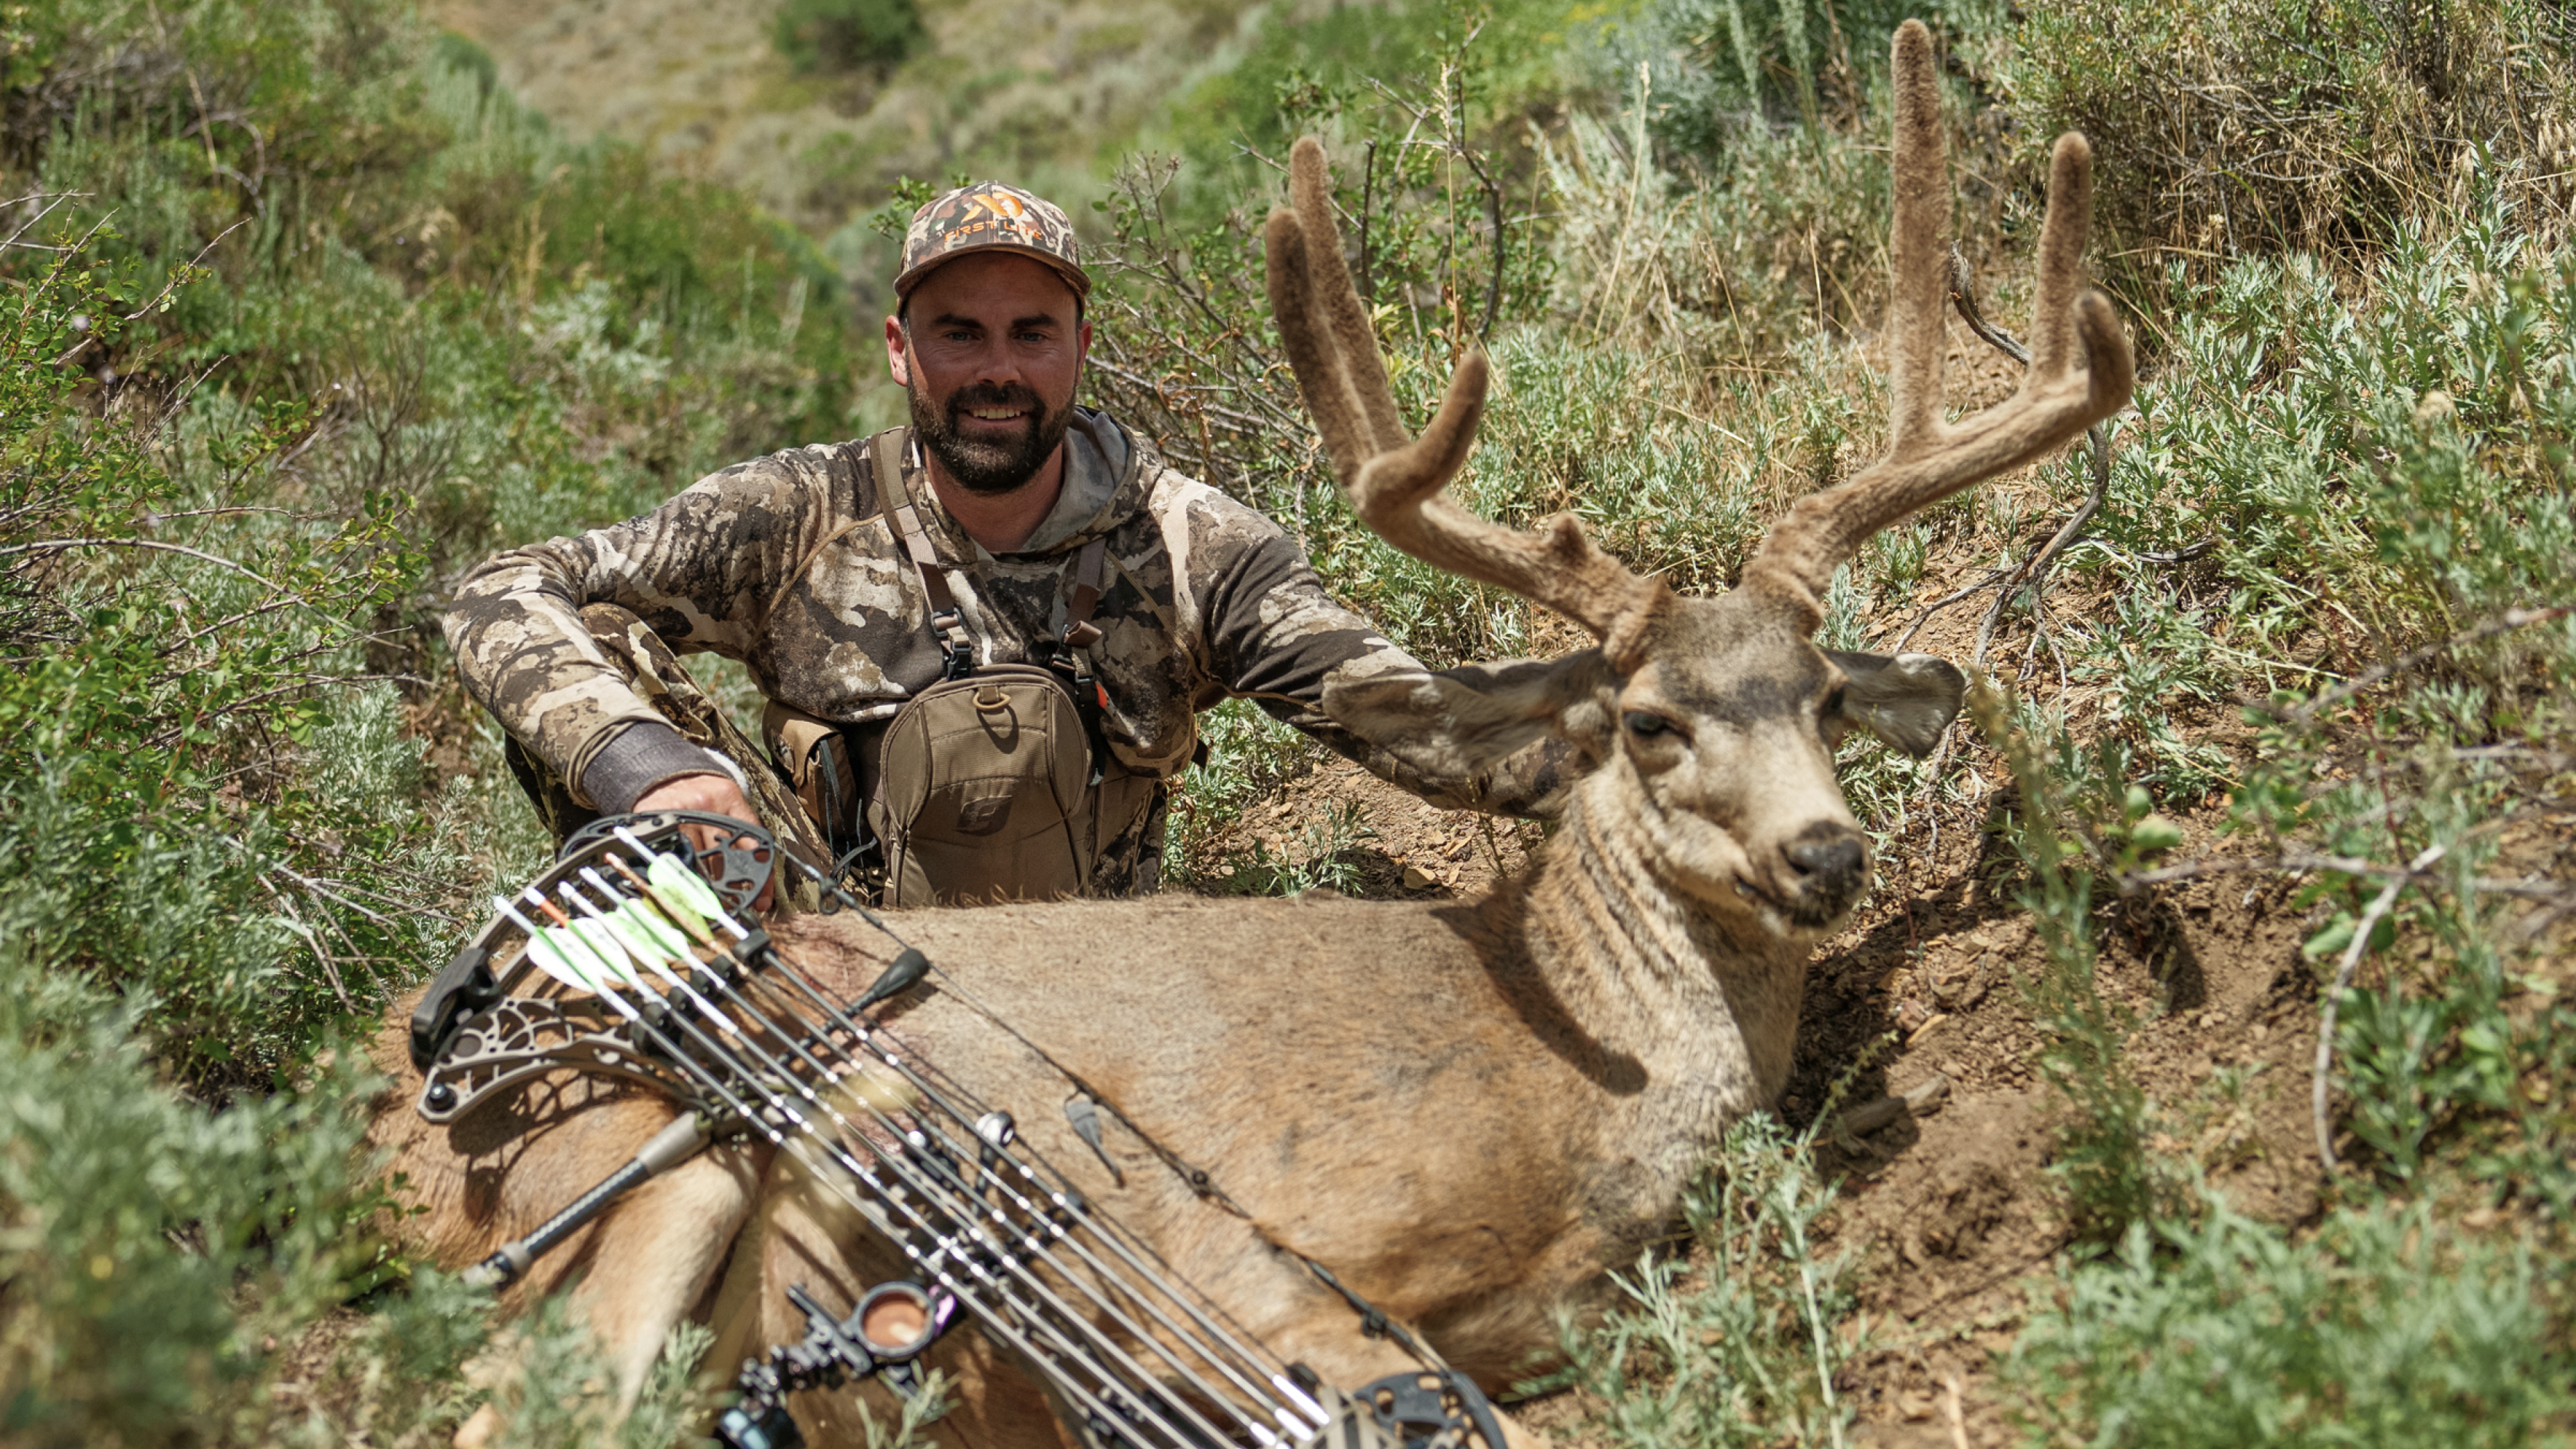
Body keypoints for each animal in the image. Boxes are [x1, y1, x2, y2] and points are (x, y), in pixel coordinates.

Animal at [364, 22, 2131, 1448]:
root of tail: (383, 1092)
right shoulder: (1267, 1248)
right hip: (630, 1178)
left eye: (1825, 694)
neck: (1570, 1075)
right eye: (1645, 719)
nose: (1824, 852)